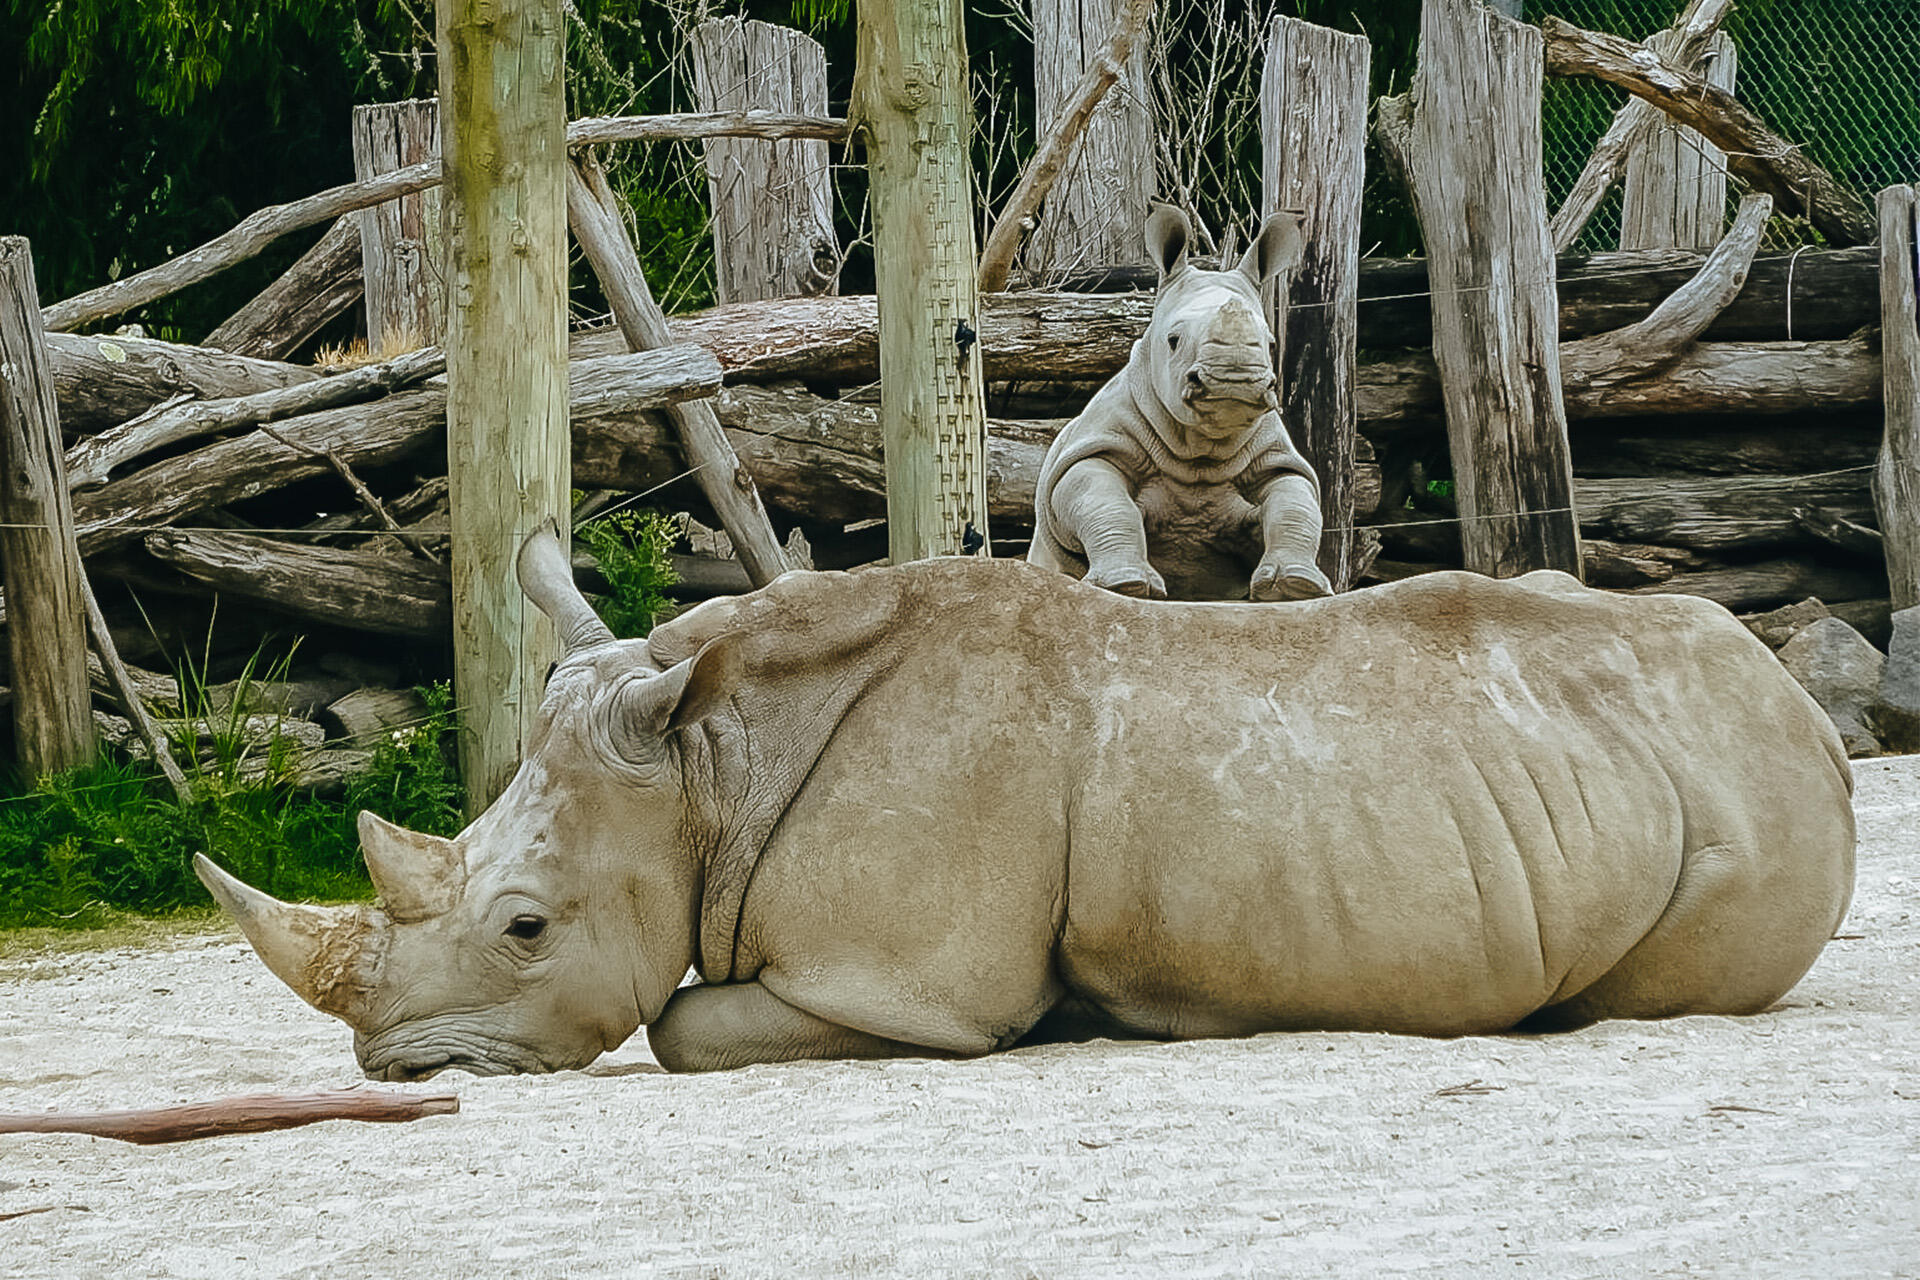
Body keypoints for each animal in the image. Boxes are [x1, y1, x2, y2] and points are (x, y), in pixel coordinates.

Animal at [197, 533, 1854, 1077]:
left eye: (527, 928)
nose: (394, 1069)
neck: (709, 763)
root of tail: (1806, 715)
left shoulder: (902, 983)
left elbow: (680, 1028)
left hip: (1746, 805)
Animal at [1029, 205, 1332, 602]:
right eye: (1173, 340)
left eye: (1270, 344)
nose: (1234, 380)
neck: (1200, 452)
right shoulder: (1093, 448)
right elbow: (1104, 503)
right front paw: (1128, 586)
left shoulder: (1276, 459)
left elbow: (1295, 503)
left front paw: (1296, 586)